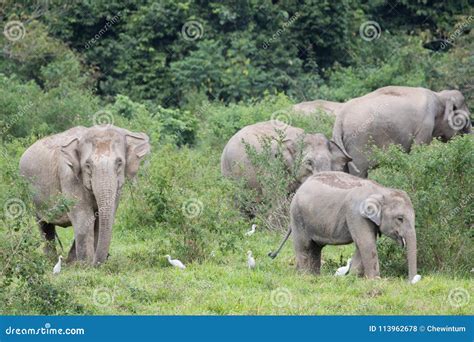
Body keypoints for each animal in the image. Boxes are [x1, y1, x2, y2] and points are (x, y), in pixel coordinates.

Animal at [19, 124, 150, 266]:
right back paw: (51, 260)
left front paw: (82, 263)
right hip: (30, 194)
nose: (101, 260)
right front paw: (85, 265)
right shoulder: (69, 177)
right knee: (43, 224)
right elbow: (84, 217)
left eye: (119, 162)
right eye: (88, 165)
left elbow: (98, 219)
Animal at [270, 172, 418, 282]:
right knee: (304, 246)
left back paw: (315, 276)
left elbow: (362, 244)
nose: (410, 282)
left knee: (315, 248)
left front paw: (353, 277)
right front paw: (375, 280)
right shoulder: (356, 215)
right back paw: (305, 276)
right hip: (298, 216)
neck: (381, 190)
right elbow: (366, 243)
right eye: (400, 219)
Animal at [332, 86, 472, 176]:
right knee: (359, 171)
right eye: (467, 119)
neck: (439, 96)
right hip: (359, 143)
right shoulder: (425, 126)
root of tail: (340, 119)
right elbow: (418, 151)